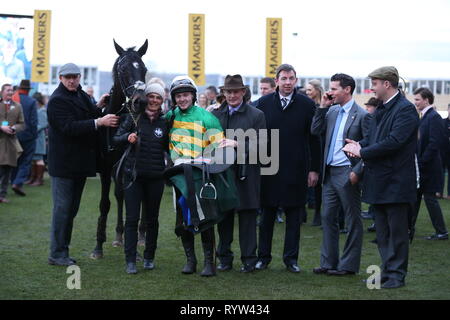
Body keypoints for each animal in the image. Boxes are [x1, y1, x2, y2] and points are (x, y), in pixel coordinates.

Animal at [90, 39, 149, 260]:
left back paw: (141, 236)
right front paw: (99, 246)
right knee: (119, 194)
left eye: (144, 69)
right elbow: (106, 203)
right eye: (123, 69)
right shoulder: (106, 167)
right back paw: (118, 235)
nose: (141, 101)